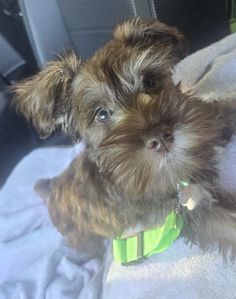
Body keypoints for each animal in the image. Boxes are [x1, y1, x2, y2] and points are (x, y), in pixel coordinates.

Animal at [12, 17, 236, 258]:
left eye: (150, 82)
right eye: (101, 114)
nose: (160, 138)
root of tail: (52, 187)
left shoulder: (210, 120)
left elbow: (225, 110)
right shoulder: (193, 212)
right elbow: (230, 227)